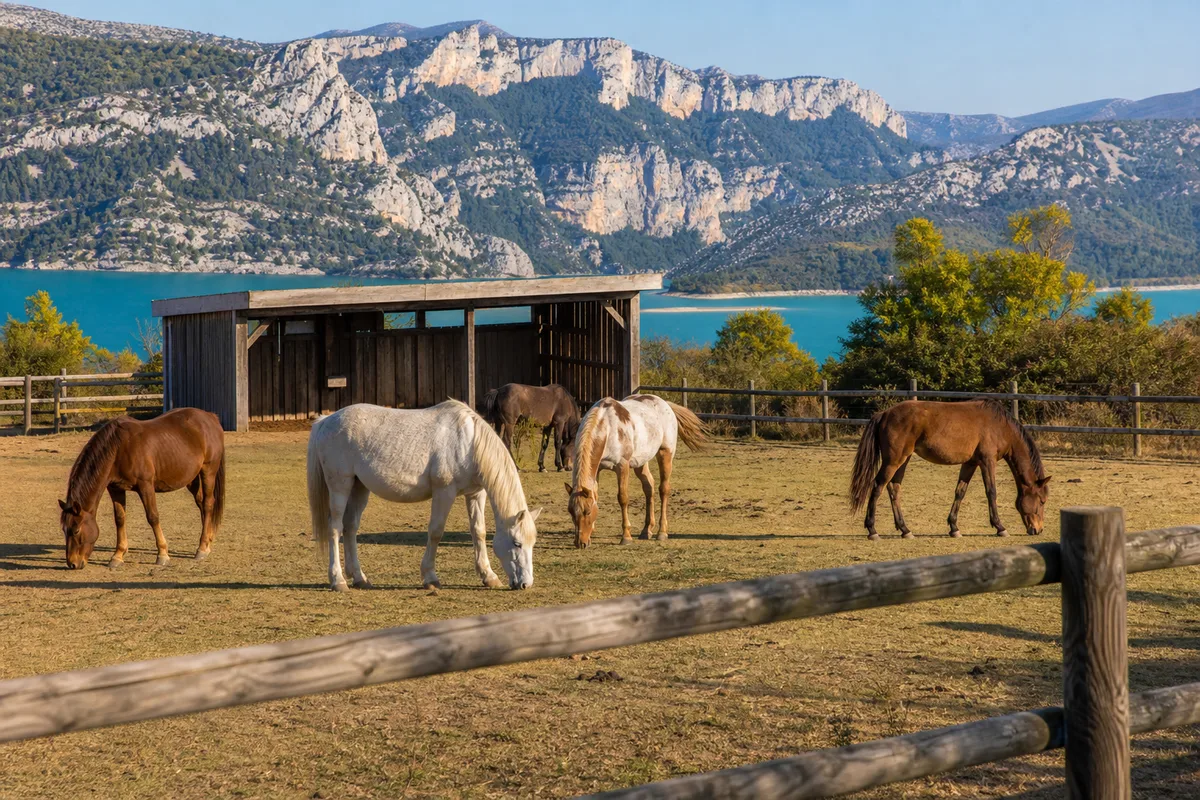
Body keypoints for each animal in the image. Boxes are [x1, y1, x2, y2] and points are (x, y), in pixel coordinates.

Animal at [59, 408, 226, 569]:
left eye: (76, 530)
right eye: (64, 530)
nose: (72, 563)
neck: (118, 448)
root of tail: (211, 417)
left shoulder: (145, 486)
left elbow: (152, 517)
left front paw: (162, 554)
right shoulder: (115, 488)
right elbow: (119, 519)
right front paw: (118, 556)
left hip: (208, 470)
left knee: (208, 503)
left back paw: (202, 548)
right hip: (191, 477)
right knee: (201, 502)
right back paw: (208, 540)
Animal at [307, 400, 541, 592]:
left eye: (532, 544)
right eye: (517, 543)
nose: (525, 584)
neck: (468, 443)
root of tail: (326, 421)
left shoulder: (475, 494)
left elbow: (479, 532)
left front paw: (488, 576)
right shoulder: (444, 492)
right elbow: (436, 532)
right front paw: (430, 578)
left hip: (359, 488)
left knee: (350, 527)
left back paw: (359, 578)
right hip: (340, 486)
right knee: (335, 528)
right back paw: (338, 581)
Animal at [565, 394, 707, 549]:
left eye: (588, 511)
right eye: (570, 511)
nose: (580, 543)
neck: (608, 428)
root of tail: (664, 403)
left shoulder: (622, 466)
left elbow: (623, 498)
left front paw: (626, 536)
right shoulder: (597, 469)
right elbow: (595, 494)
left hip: (665, 453)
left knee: (664, 489)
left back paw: (662, 532)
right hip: (641, 462)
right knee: (649, 487)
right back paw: (646, 530)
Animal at [849, 399, 1052, 540]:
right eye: (1041, 501)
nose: (1039, 529)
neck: (1000, 426)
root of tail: (884, 414)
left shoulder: (970, 463)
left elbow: (960, 492)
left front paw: (954, 528)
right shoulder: (987, 461)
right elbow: (991, 492)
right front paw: (1000, 527)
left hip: (903, 460)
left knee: (893, 488)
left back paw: (905, 530)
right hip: (893, 460)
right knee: (878, 487)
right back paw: (872, 530)